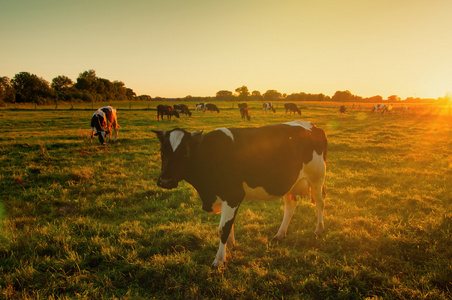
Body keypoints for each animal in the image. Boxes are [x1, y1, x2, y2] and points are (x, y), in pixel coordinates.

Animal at [151, 120, 324, 266]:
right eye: (162, 152)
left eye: (185, 152)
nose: (165, 180)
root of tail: (312, 125)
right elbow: (229, 225)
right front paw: (230, 245)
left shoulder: (233, 195)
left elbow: (223, 228)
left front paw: (219, 260)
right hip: (289, 184)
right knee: (290, 205)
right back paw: (280, 234)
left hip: (317, 178)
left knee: (320, 203)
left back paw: (318, 230)